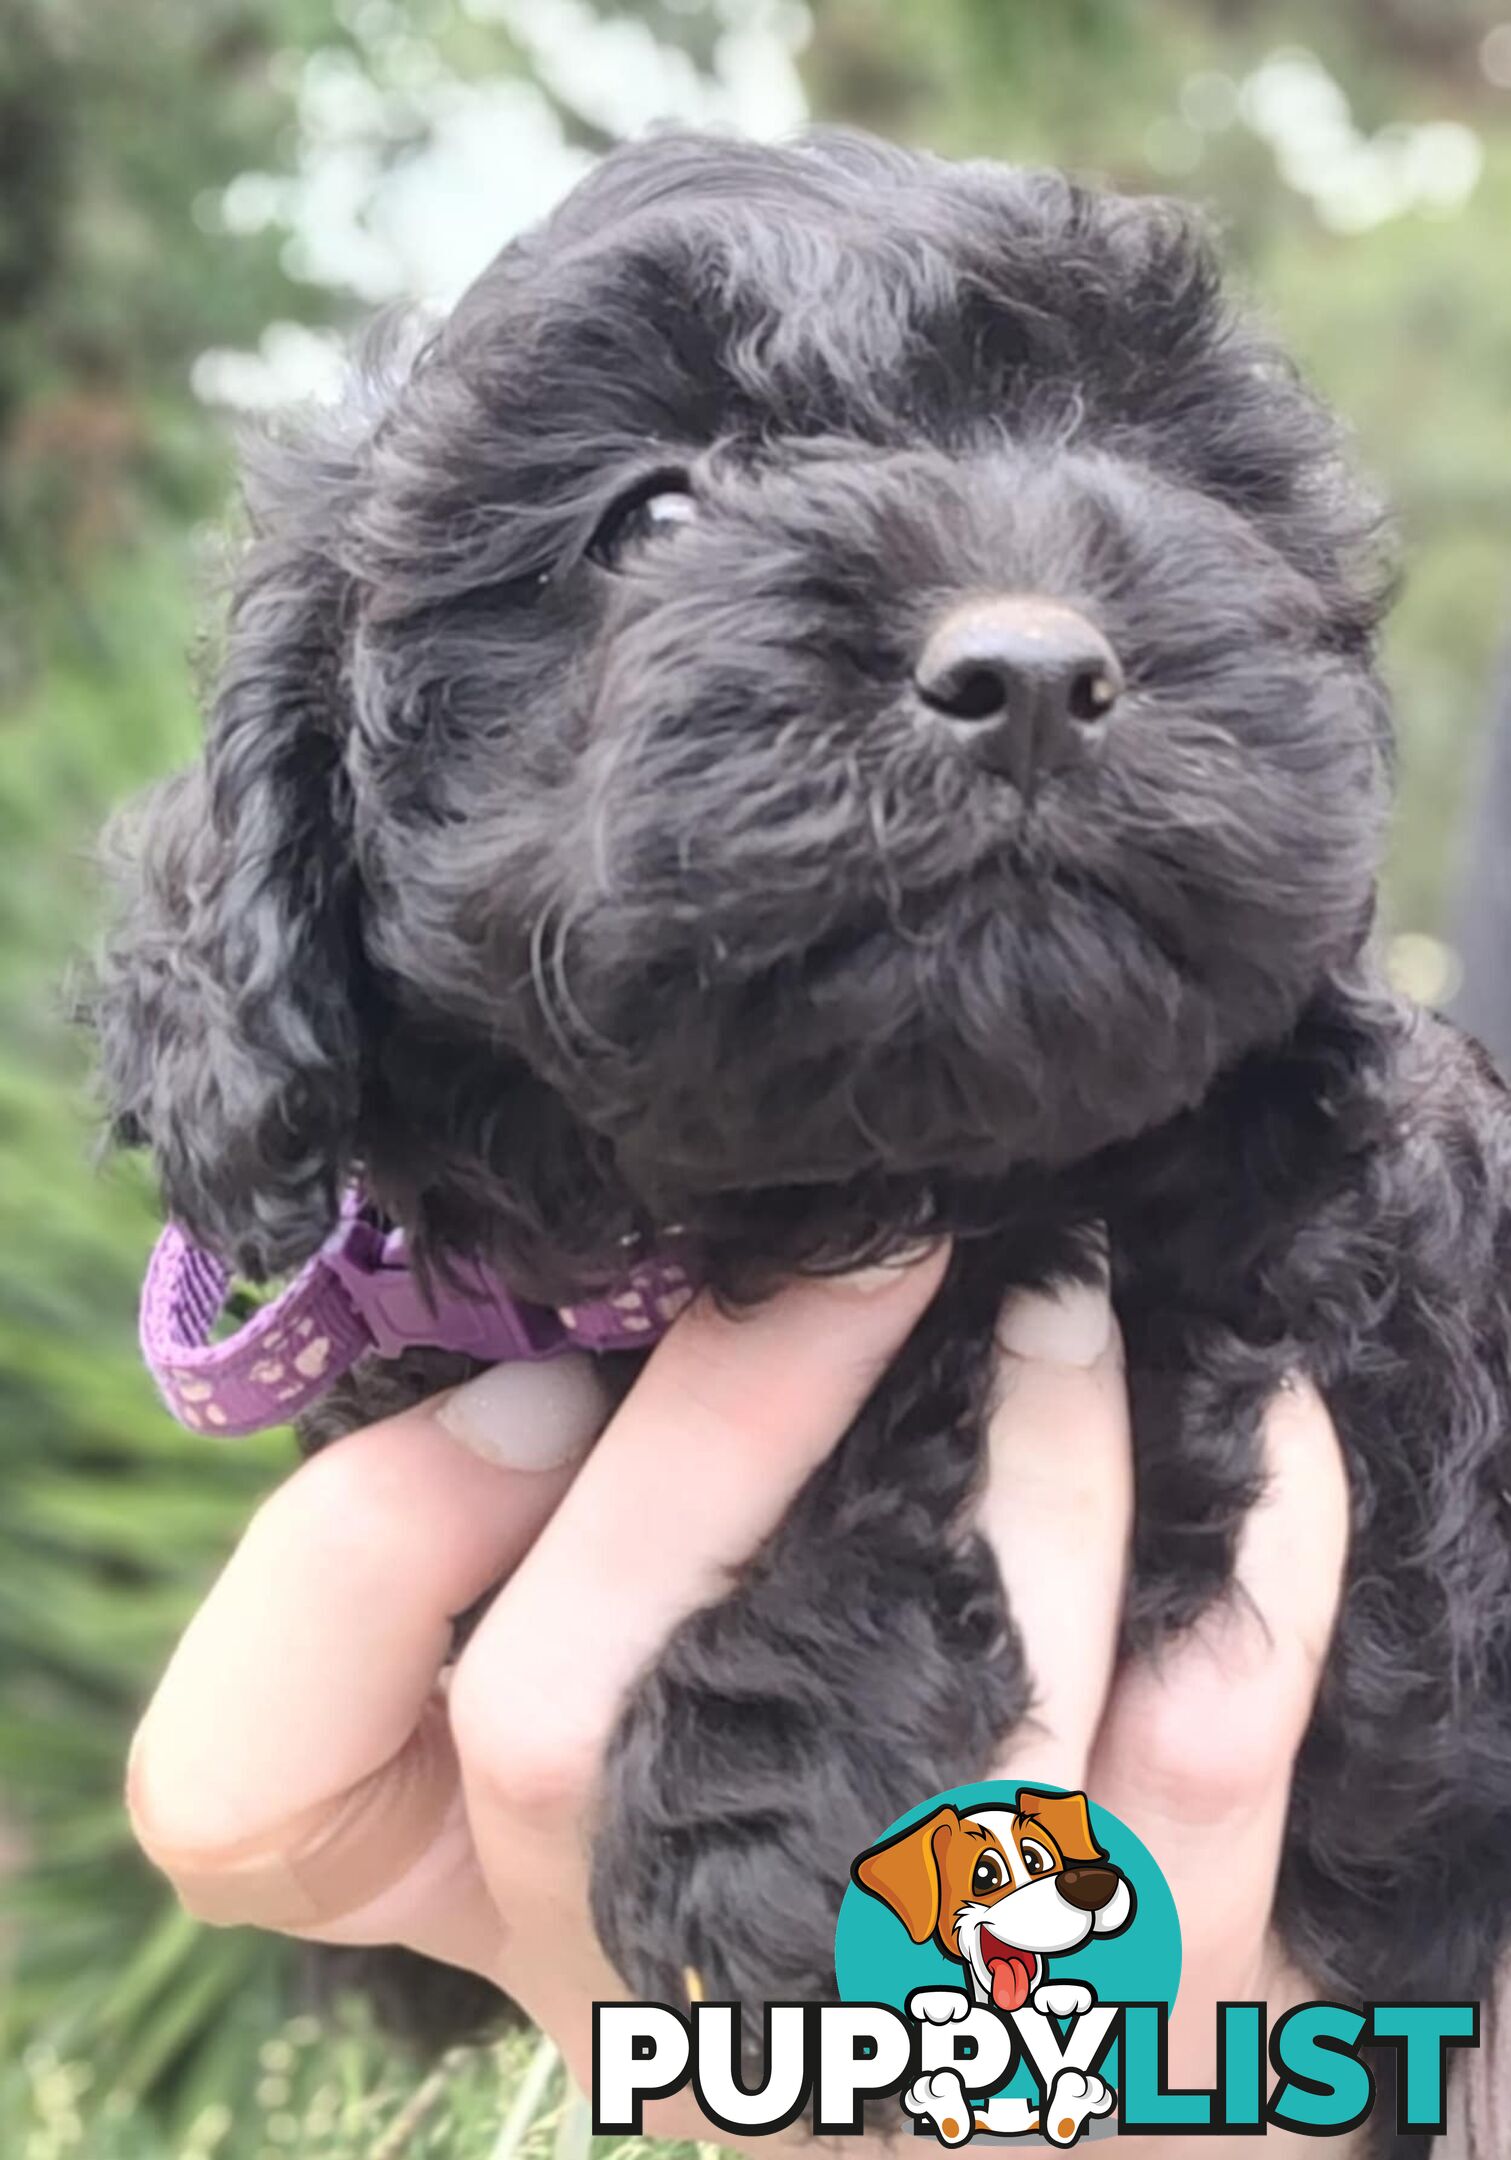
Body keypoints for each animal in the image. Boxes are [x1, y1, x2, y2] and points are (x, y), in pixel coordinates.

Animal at [94, 126, 1511, 2082]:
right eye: (650, 518)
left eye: (1129, 456)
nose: (1028, 676)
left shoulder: (1313, 1286)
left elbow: (1000, 1313)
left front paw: (755, 1805)